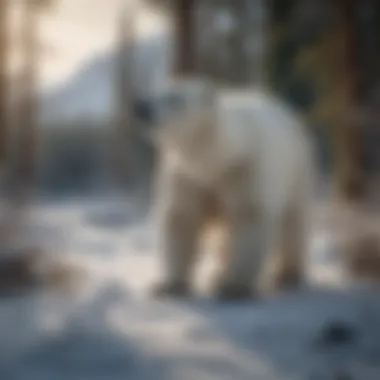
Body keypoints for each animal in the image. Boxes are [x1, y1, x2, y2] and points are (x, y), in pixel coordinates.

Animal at [148, 77, 314, 302]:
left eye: (175, 99)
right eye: (156, 93)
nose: (142, 107)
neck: (217, 159)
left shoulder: (246, 171)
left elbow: (249, 218)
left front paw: (233, 287)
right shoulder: (187, 177)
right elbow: (182, 219)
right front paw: (169, 285)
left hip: (295, 172)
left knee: (292, 222)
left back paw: (287, 274)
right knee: (225, 235)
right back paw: (217, 274)